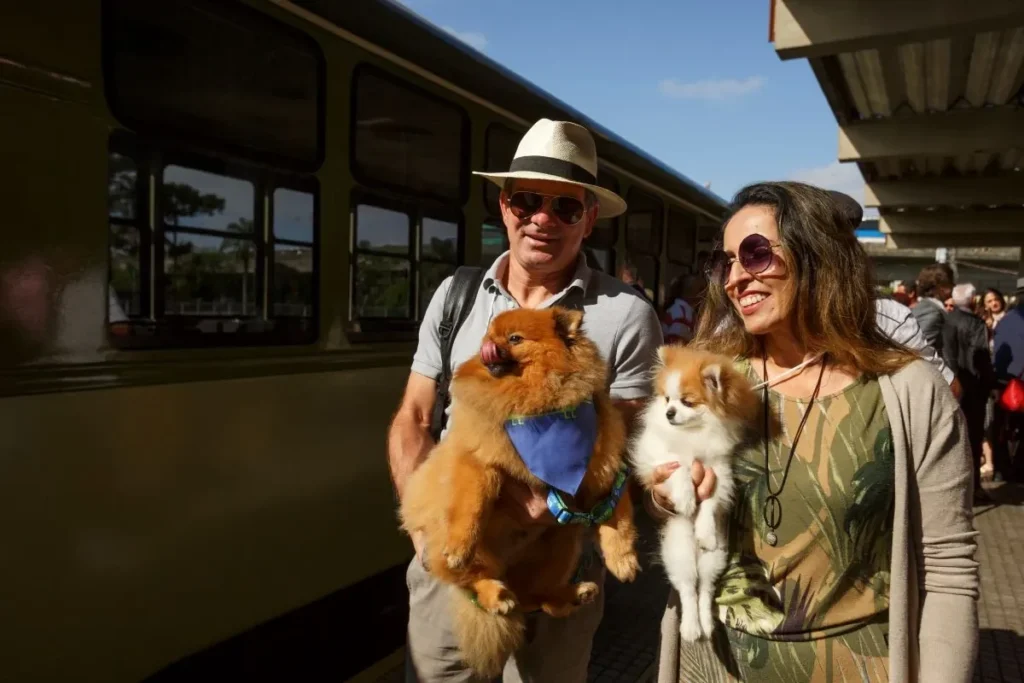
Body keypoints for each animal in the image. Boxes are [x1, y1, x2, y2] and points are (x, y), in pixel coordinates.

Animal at [399, 305, 638, 679]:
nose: (488, 347)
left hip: (561, 544)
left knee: (537, 597)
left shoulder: (604, 475)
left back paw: (572, 594)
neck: (537, 407)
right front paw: (459, 545)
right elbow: (472, 504)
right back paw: (495, 594)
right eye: (488, 335)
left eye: (514, 339)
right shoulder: (479, 463)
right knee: (472, 580)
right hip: (482, 556)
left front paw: (623, 560)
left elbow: (619, 522)